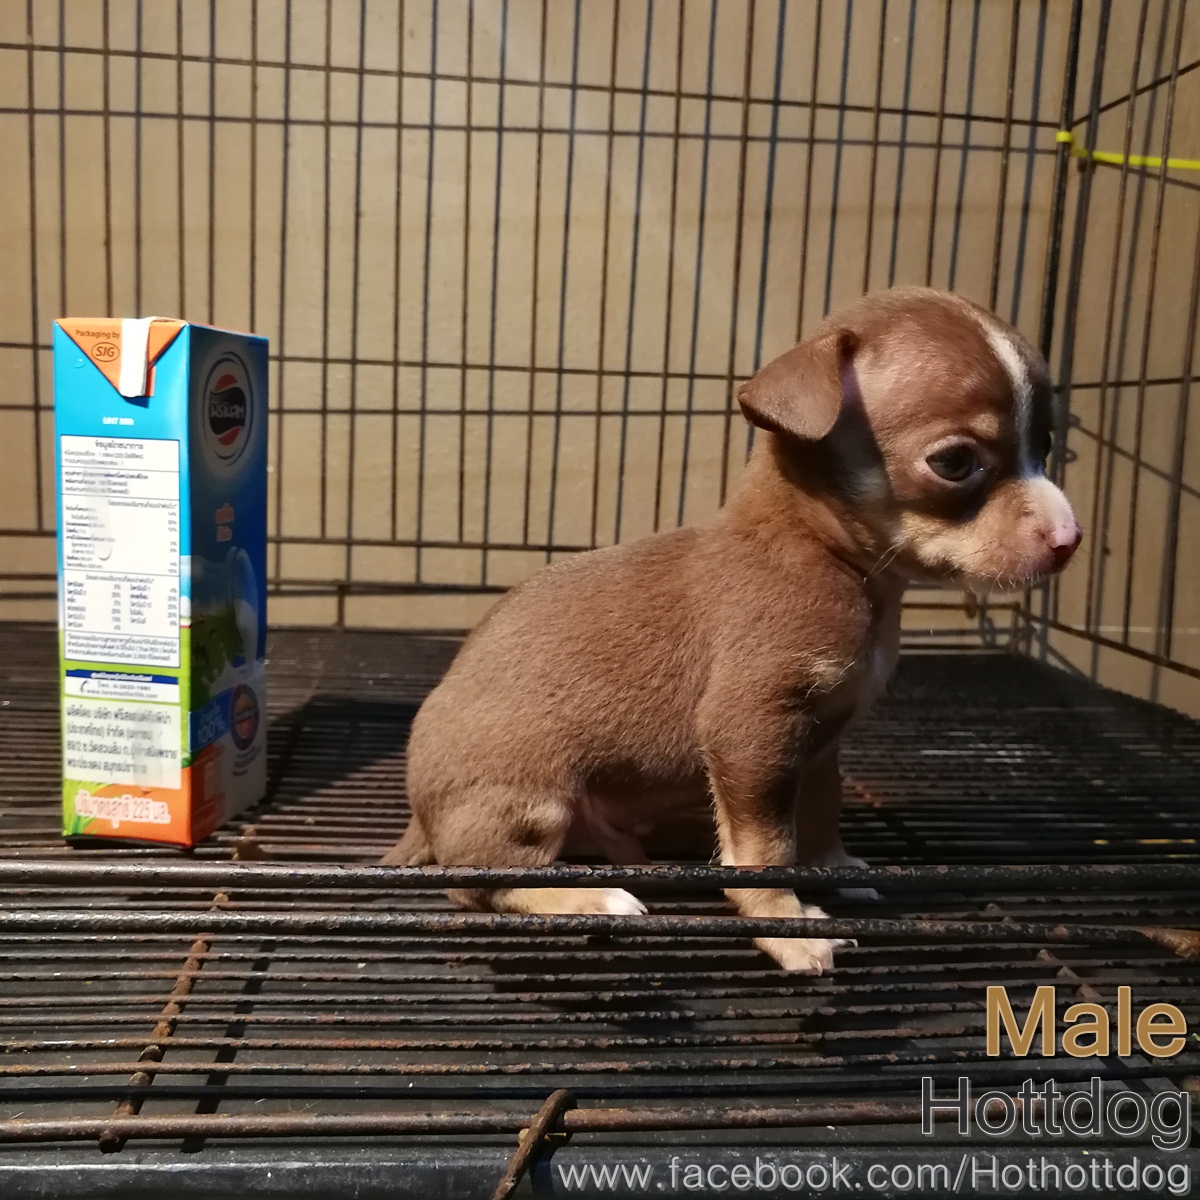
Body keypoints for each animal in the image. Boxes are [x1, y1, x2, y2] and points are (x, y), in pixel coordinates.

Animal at [383, 287, 1082, 974]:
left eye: (1046, 447)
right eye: (955, 462)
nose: (1070, 538)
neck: (839, 566)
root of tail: (420, 818)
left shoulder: (820, 743)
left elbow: (818, 813)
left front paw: (835, 868)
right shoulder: (751, 730)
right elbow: (765, 850)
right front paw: (787, 927)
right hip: (532, 798)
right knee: (482, 882)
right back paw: (591, 896)